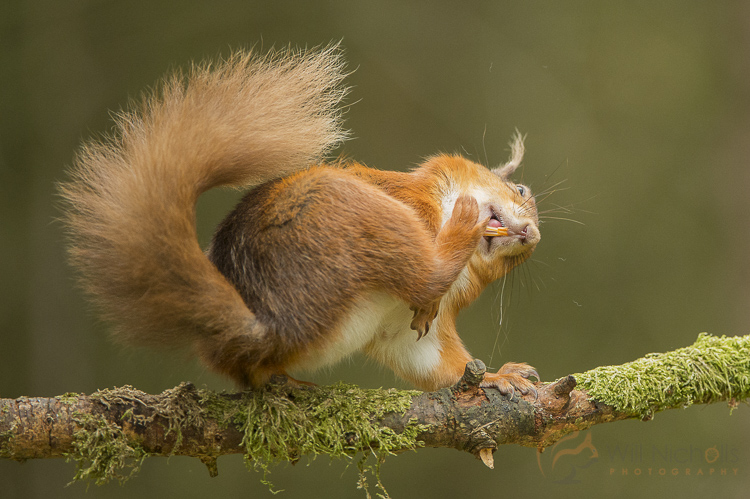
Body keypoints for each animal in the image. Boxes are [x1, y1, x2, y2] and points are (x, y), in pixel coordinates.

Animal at [58, 47, 540, 398]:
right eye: (520, 191)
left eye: (518, 264)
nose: (532, 234)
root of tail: (267, 322)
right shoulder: (411, 203)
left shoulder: (408, 334)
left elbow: (439, 364)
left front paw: (496, 376)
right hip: (358, 214)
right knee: (425, 272)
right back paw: (461, 224)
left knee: (253, 373)